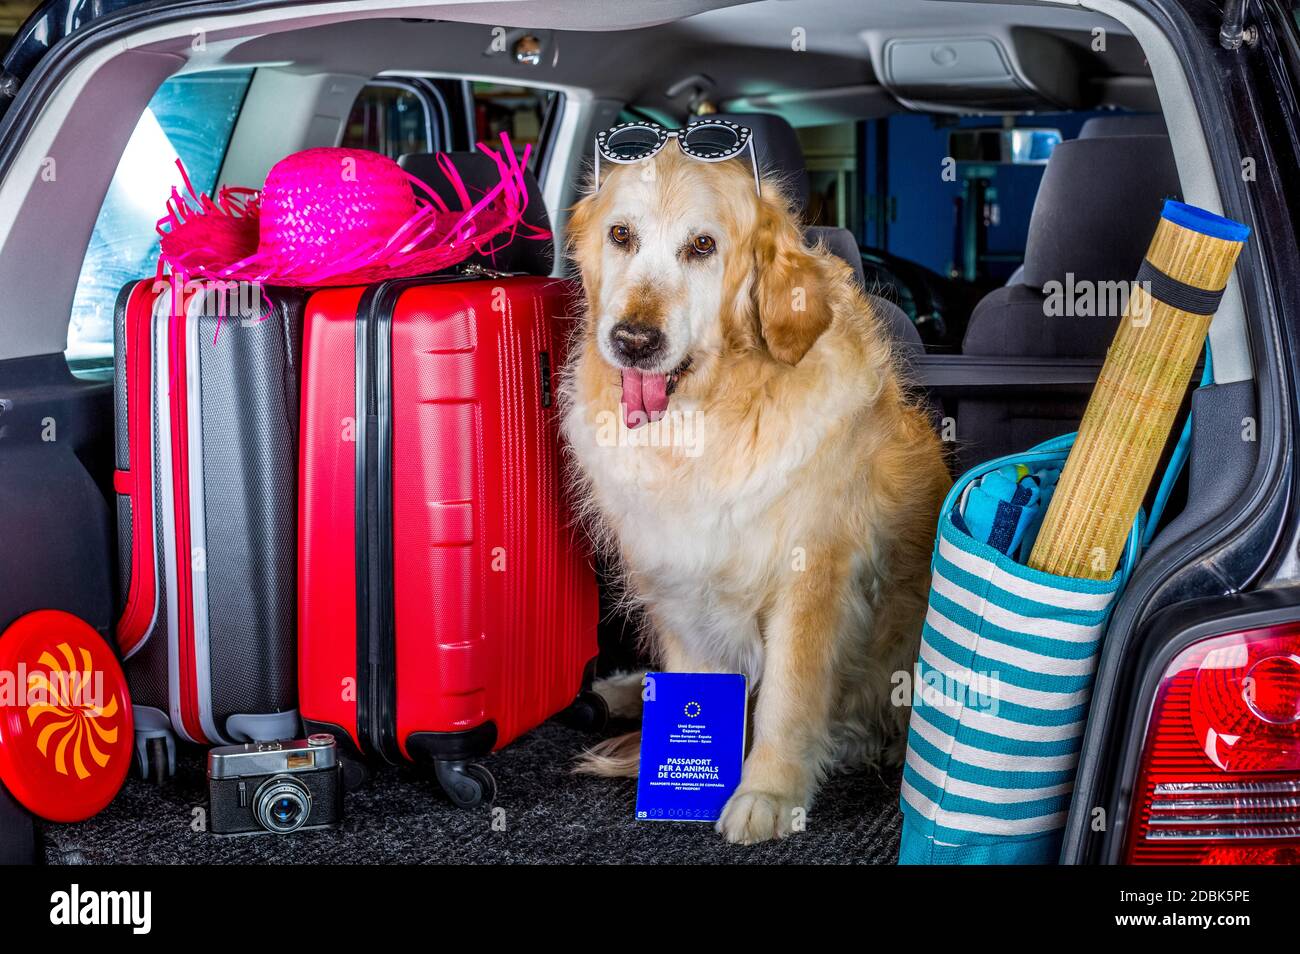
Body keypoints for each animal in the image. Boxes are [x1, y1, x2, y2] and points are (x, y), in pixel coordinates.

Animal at [559, 143, 946, 842]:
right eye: (621, 235)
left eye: (703, 246)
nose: (633, 340)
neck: (705, 423)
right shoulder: (677, 583)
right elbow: (694, 676)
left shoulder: (812, 580)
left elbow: (787, 701)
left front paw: (767, 792)